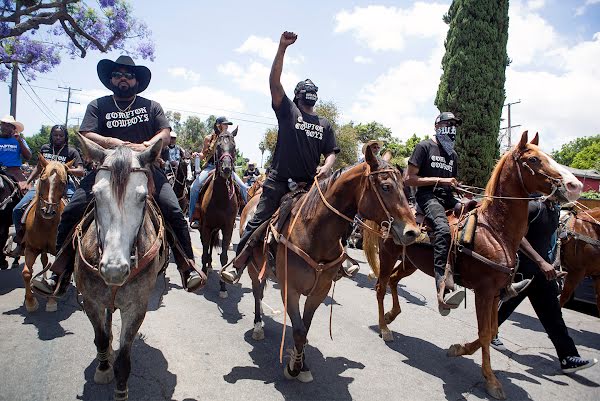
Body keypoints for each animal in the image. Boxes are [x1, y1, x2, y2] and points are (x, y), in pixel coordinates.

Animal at [21, 157, 73, 312]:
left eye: (63, 182)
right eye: (43, 180)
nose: (48, 211)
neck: (46, 224)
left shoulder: (59, 251)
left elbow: (56, 272)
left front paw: (51, 301)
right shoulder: (31, 248)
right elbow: (26, 273)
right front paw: (30, 302)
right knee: (44, 261)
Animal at [75, 134, 170, 400]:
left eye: (142, 197)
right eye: (96, 195)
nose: (114, 270)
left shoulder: (136, 307)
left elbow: (124, 360)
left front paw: (120, 389)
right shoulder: (91, 301)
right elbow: (100, 338)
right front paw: (104, 368)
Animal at [193, 128, 238, 296]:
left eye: (234, 146)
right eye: (218, 146)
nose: (226, 169)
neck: (221, 198)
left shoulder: (227, 228)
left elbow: (224, 257)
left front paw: (223, 286)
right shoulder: (205, 226)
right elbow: (205, 251)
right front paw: (204, 273)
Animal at [243, 147, 418, 382]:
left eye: (405, 187)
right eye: (386, 187)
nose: (413, 232)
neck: (313, 232)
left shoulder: (320, 290)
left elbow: (304, 328)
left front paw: (302, 363)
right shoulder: (290, 289)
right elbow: (298, 331)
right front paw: (294, 367)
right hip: (254, 268)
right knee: (257, 292)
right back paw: (257, 324)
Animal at [364, 131, 584, 396]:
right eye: (533, 159)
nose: (575, 185)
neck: (495, 230)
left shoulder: (496, 291)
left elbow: (492, 331)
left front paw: (459, 349)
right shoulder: (484, 291)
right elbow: (486, 331)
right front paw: (491, 380)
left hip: (411, 264)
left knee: (394, 281)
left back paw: (391, 315)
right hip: (388, 255)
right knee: (380, 287)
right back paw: (384, 327)